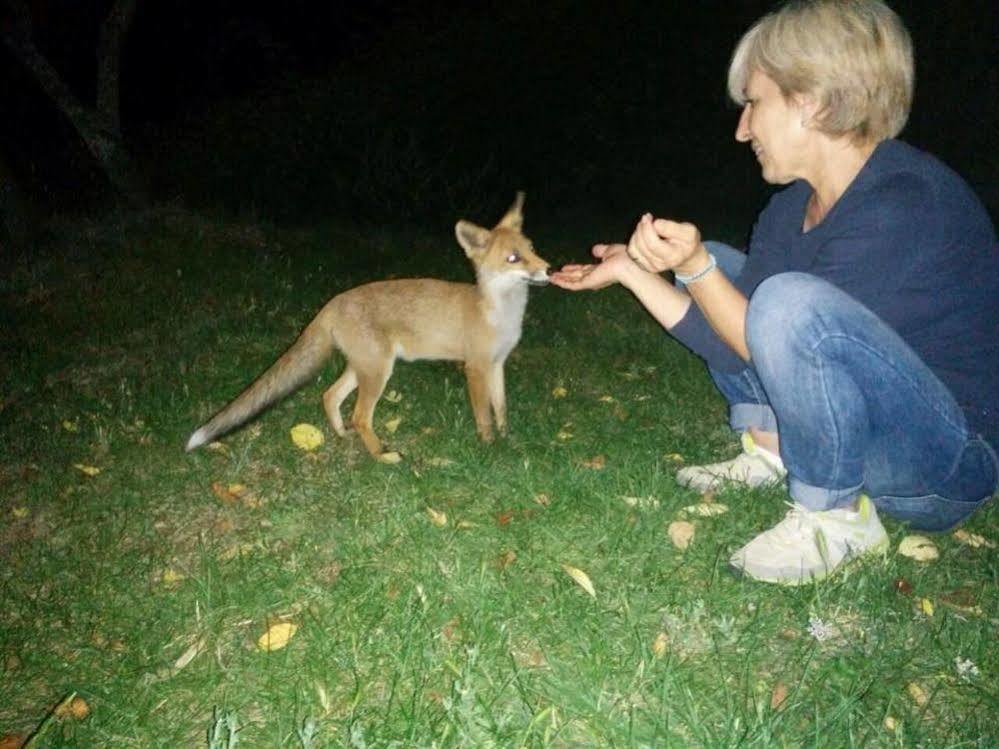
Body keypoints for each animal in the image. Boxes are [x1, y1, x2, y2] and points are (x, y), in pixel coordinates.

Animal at [184, 191, 552, 462]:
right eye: (513, 259)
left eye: (532, 249)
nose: (549, 270)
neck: (499, 312)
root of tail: (333, 301)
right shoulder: (475, 367)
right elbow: (484, 413)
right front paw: (489, 447)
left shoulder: (497, 364)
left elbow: (501, 408)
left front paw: (507, 439)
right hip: (378, 372)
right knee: (360, 415)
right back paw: (381, 455)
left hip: (363, 368)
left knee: (330, 396)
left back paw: (343, 435)